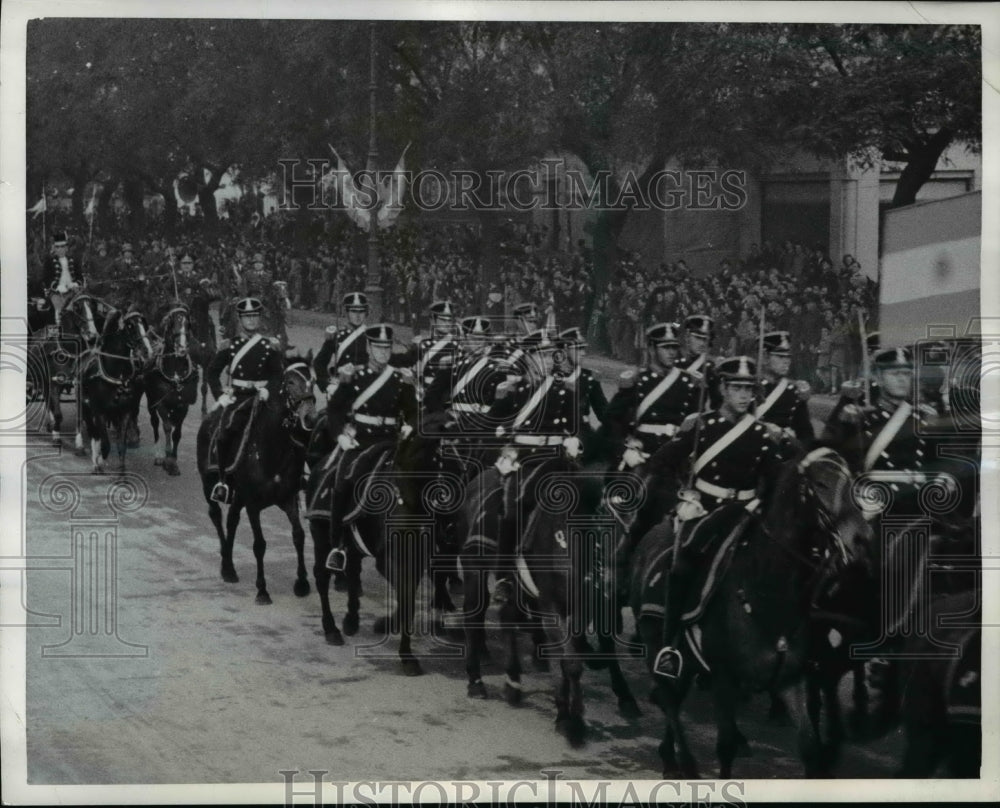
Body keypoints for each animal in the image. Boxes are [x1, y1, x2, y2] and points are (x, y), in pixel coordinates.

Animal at [79, 310, 152, 474]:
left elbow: (121, 445)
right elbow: (105, 443)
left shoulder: (125, 411)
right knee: (93, 432)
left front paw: (122, 469)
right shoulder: (99, 411)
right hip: (85, 408)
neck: (117, 376)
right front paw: (100, 460)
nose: (147, 352)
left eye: (144, 325)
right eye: (130, 326)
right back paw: (93, 459)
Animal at [144, 306, 202, 476]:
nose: (182, 349)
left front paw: (174, 459)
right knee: (155, 423)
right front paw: (168, 460)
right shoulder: (161, 403)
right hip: (151, 401)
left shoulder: (183, 405)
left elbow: (177, 433)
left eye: (188, 325)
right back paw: (158, 455)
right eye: (172, 325)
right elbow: (167, 427)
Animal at [196, 356, 316, 604]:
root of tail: (209, 419)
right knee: (216, 516)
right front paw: (262, 590)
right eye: (290, 382)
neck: (273, 449)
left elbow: (298, 535)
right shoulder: (253, 504)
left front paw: (302, 583)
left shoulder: (288, 499)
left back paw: (230, 567)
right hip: (208, 484)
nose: (310, 417)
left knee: (232, 520)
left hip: (238, 495)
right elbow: (259, 544)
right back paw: (226, 564)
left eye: (313, 380)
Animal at [636, 446, 872, 780]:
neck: (769, 594)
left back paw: (670, 756)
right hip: (657, 643)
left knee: (675, 697)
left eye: (852, 481)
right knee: (669, 698)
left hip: (689, 663)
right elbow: (725, 748)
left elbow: (810, 747)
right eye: (822, 484)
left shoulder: (790, 680)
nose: (862, 538)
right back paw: (686, 764)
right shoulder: (724, 679)